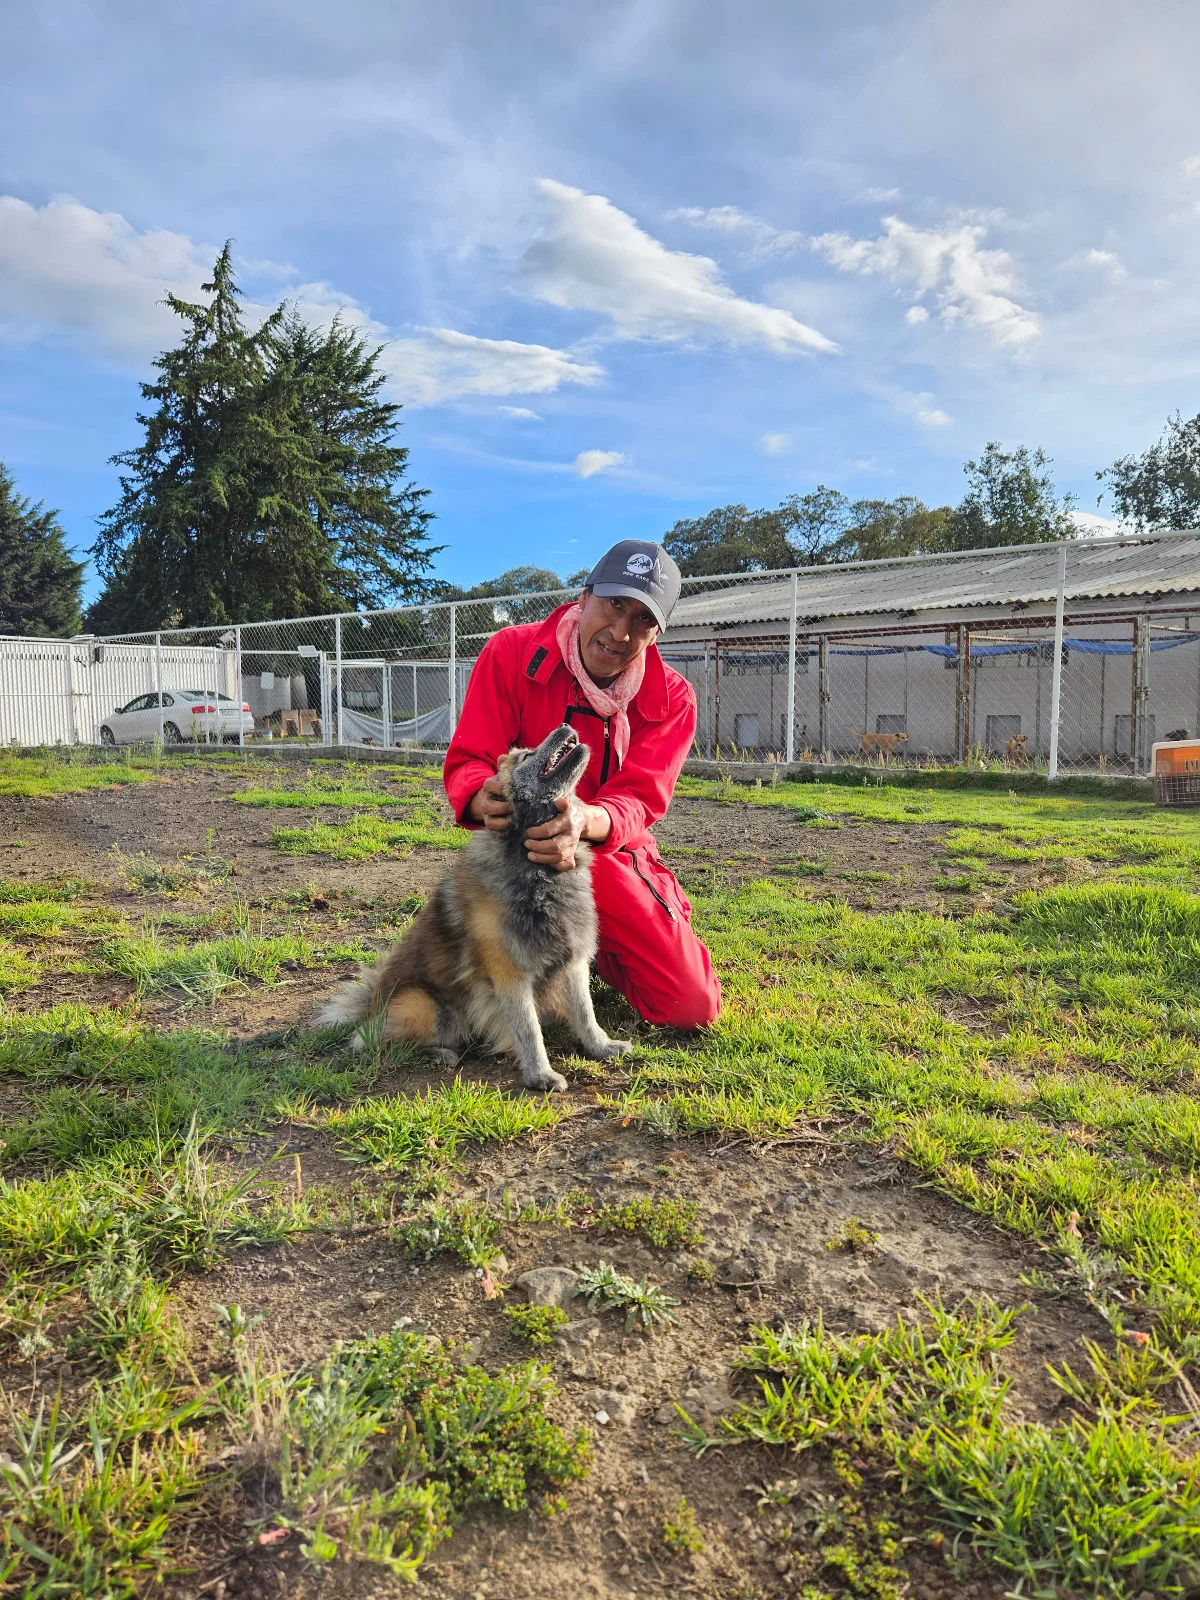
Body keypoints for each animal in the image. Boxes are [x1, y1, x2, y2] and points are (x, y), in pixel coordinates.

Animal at [320, 723, 640, 1088]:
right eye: (525, 756)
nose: (564, 726)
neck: (535, 868)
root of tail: (370, 1004)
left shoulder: (573, 961)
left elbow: (586, 1013)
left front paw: (602, 1047)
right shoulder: (510, 974)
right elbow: (529, 1031)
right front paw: (540, 1076)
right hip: (426, 1006)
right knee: (373, 1043)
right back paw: (438, 1054)